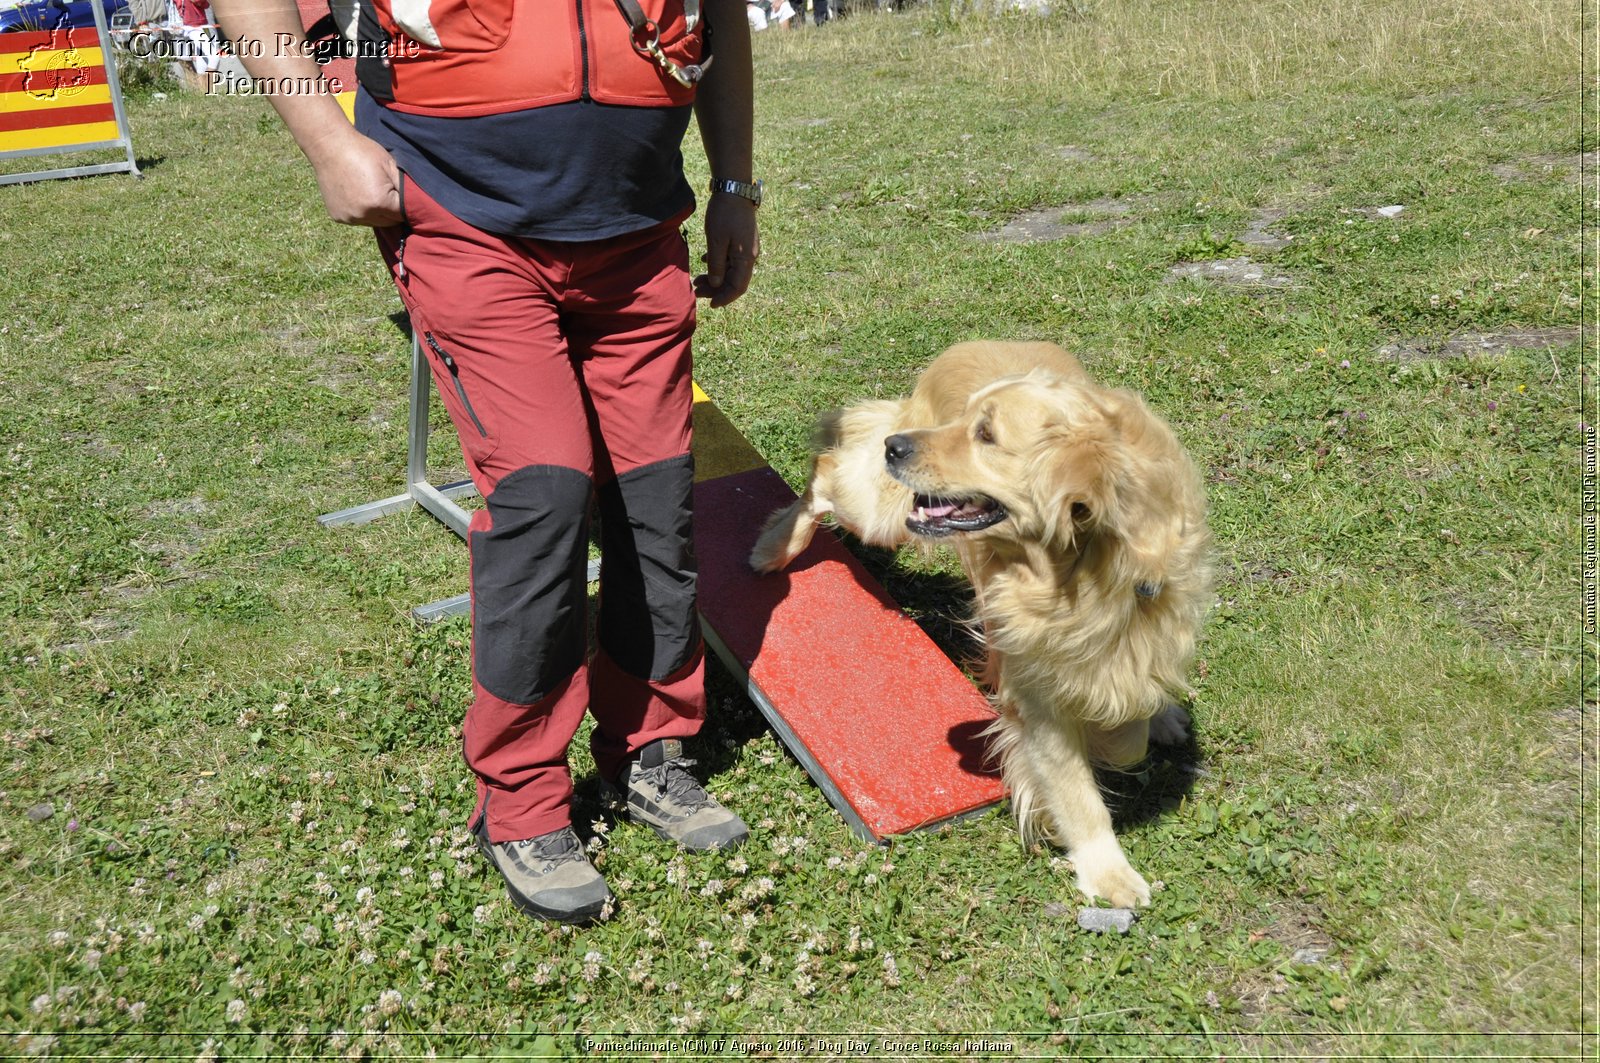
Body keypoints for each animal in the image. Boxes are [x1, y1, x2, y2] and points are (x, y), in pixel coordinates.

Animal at [748, 340, 1209, 902]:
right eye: (968, 421)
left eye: (986, 434)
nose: (895, 448)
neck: (1084, 564)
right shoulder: (1038, 690)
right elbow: (1082, 786)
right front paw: (1108, 872)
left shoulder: (1154, 614)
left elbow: (1131, 722)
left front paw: (1139, 717)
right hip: (884, 511)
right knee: (829, 464)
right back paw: (776, 545)